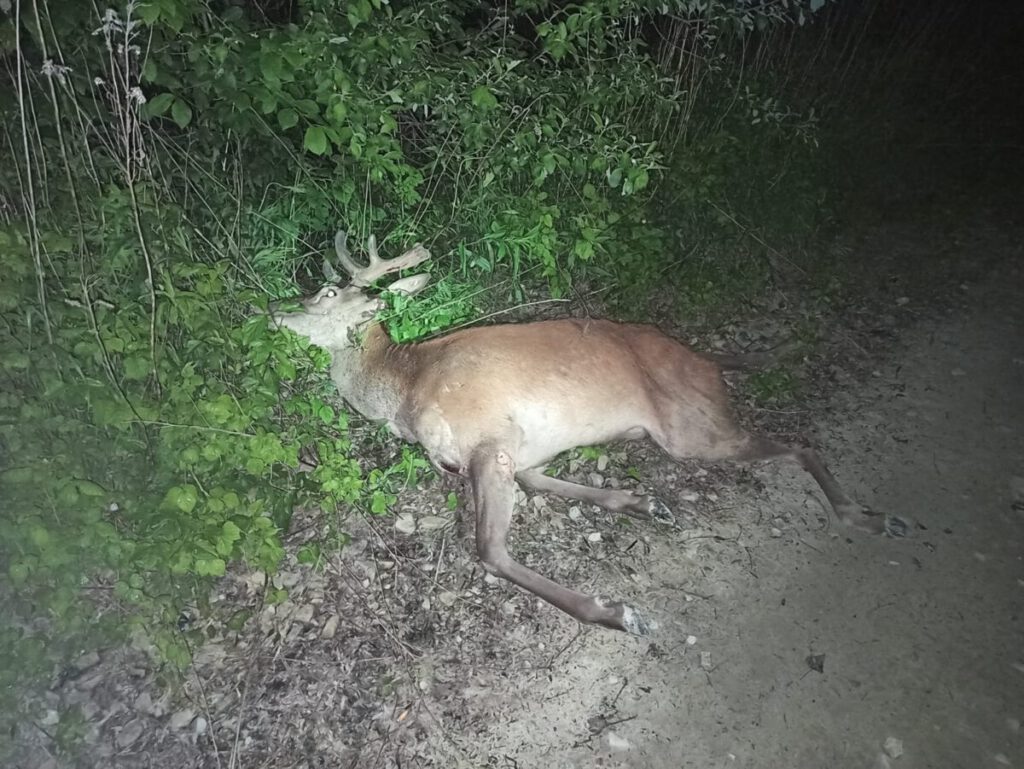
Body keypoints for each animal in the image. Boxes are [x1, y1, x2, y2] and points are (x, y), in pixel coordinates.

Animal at [271, 230, 908, 636]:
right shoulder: (519, 450)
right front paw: (642, 503)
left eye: (325, 293)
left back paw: (870, 517)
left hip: (689, 429)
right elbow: (543, 484)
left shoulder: (490, 440)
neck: (405, 390)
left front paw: (617, 613)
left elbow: (491, 550)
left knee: (800, 444)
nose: (272, 313)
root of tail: (707, 359)